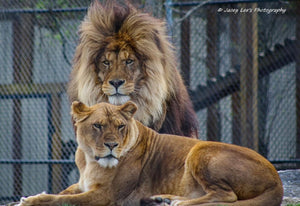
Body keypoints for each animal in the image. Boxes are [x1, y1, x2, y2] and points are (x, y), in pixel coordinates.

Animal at [19, 101, 284, 206]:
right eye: (98, 125)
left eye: (120, 126)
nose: (112, 145)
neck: (89, 159)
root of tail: (277, 180)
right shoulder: (82, 184)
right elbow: (63, 192)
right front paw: (32, 196)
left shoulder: (107, 196)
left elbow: (61, 199)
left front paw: (32, 201)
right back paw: (163, 198)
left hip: (200, 149)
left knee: (226, 196)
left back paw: (177, 202)